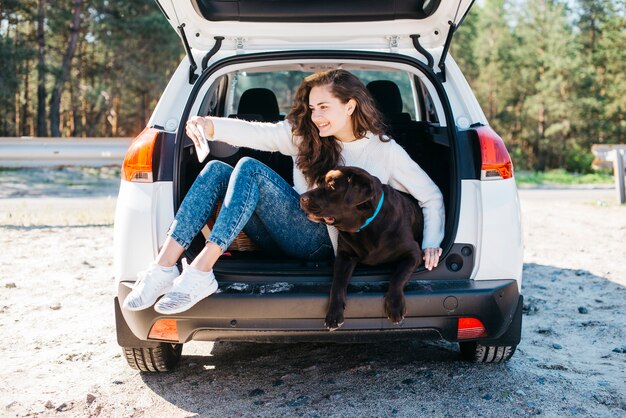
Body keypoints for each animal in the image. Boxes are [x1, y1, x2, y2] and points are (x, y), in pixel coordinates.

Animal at [298, 166, 424, 330]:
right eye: (320, 183)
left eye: (332, 186)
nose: (302, 197)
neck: (366, 225)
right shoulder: (344, 256)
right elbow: (337, 283)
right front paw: (334, 313)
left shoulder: (413, 252)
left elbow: (398, 276)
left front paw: (395, 306)